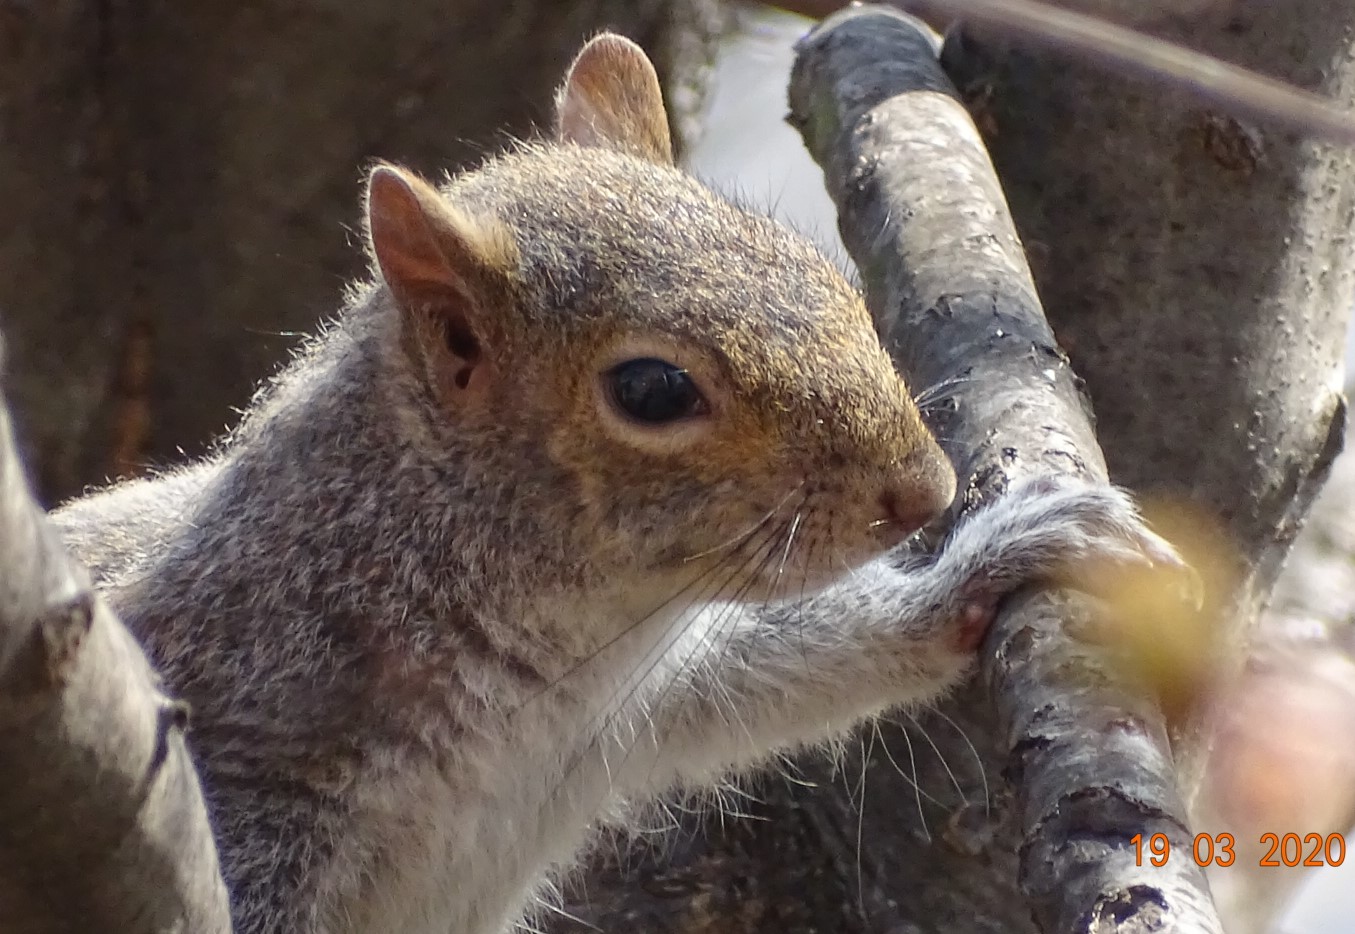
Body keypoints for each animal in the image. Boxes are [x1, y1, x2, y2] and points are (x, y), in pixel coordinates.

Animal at [52, 32, 1183, 934]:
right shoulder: (248, 747)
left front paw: (1004, 555)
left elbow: (770, 668)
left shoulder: (626, 712)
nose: (921, 493)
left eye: (827, 277)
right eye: (650, 389)